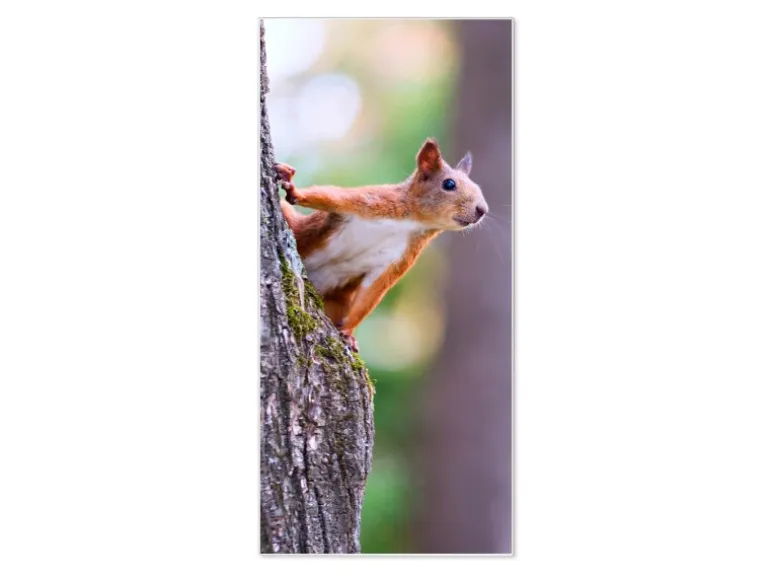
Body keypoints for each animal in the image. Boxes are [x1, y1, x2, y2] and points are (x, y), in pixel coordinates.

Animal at [274, 138, 488, 353]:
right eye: (449, 184)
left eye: (478, 188)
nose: (482, 210)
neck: (413, 222)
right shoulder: (373, 201)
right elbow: (331, 197)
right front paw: (294, 190)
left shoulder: (399, 257)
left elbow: (373, 291)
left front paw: (349, 332)